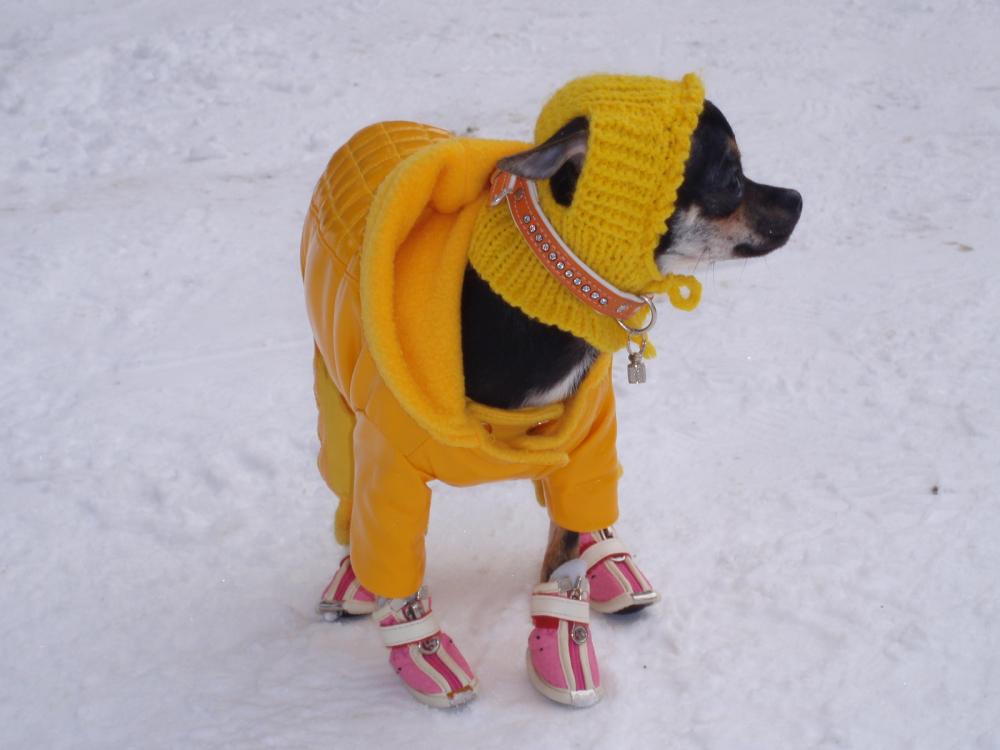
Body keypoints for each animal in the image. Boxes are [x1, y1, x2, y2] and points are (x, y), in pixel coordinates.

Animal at [302, 74, 801, 708]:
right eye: (732, 177)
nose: (798, 199)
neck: (550, 295)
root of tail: (371, 130)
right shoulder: (387, 465)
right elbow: (399, 571)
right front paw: (421, 649)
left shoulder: (582, 443)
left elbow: (561, 555)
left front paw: (561, 642)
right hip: (336, 400)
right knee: (347, 498)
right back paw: (354, 577)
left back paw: (608, 558)